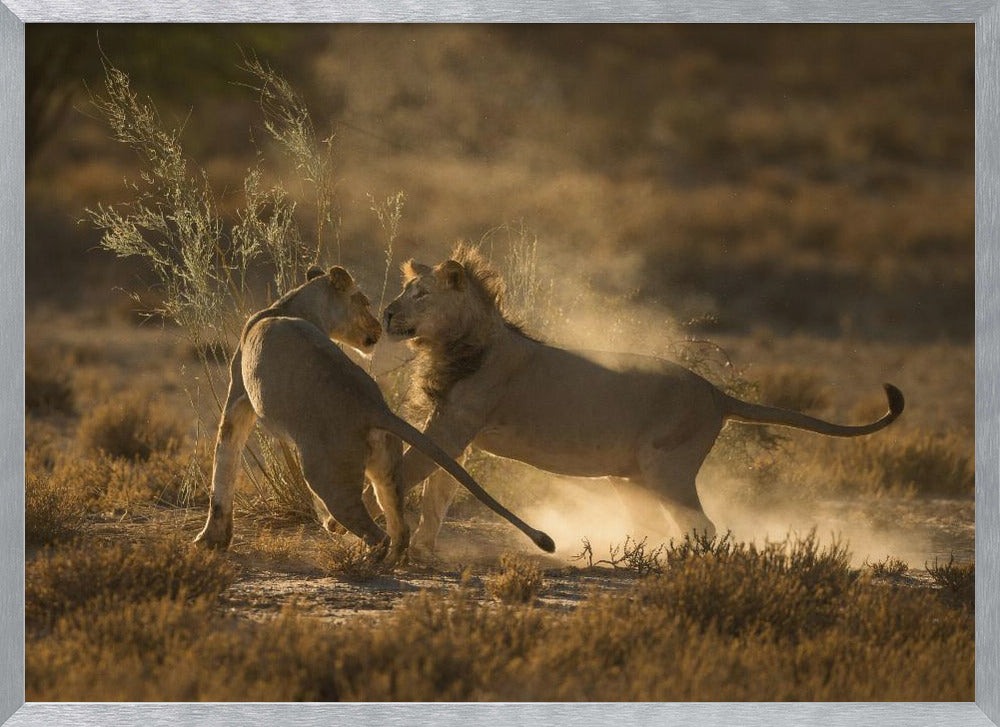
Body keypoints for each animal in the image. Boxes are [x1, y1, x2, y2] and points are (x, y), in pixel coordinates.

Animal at [193, 264, 555, 564]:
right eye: (365, 303)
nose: (380, 326)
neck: (292, 307)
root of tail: (374, 407)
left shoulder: (239, 397)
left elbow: (224, 464)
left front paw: (210, 540)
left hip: (327, 474)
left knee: (373, 531)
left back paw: (364, 560)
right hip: (386, 470)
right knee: (399, 526)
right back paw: (392, 561)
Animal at [382, 244, 905, 557]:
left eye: (420, 295)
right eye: (405, 291)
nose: (386, 313)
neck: (456, 344)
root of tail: (715, 392)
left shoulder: (454, 424)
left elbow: (411, 470)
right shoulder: (455, 433)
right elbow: (438, 493)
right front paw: (422, 551)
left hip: (666, 467)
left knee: (702, 525)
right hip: (629, 477)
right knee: (658, 524)